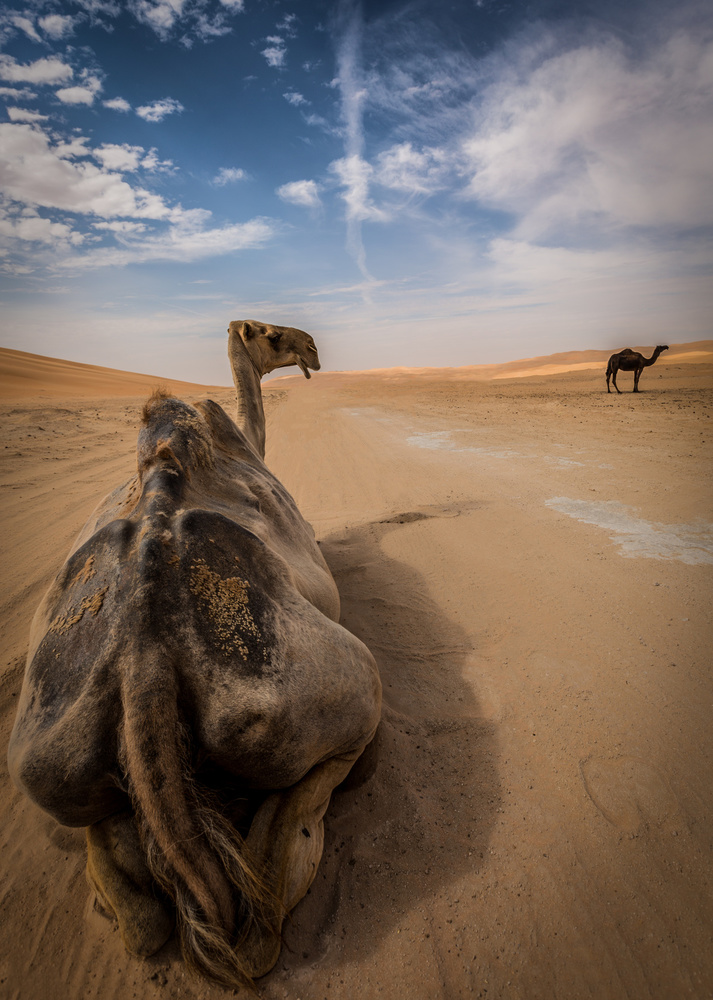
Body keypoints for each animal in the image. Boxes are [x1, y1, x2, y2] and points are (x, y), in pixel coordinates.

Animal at [7, 320, 382, 989]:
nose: (311, 346)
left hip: (46, 759)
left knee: (136, 904)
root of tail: (143, 666)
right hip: (326, 692)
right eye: (271, 336)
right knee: (271, 888)